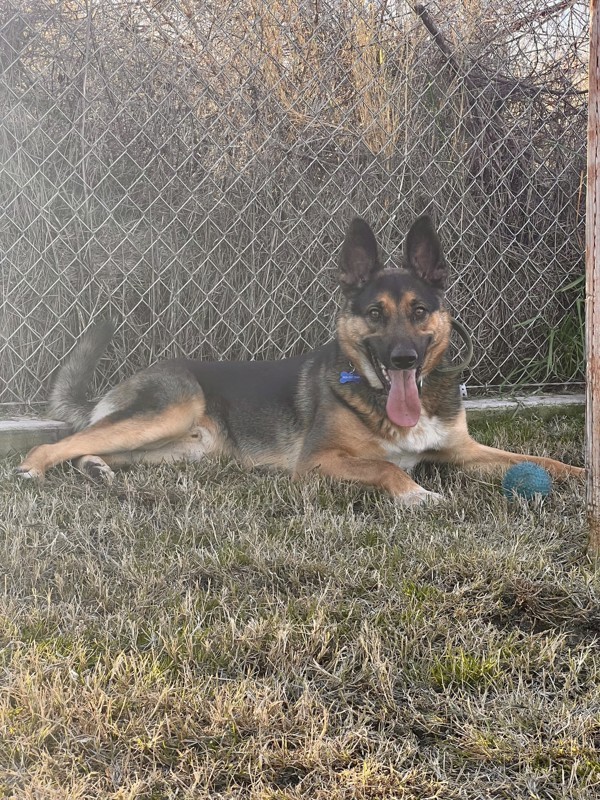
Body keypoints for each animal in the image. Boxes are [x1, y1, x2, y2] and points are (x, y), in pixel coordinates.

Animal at [16, 216, 584, 504]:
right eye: (375, 314)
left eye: (420, 311)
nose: (403, 359)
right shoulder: (317, 463)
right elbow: (386, 467)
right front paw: (417, 494)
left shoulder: (464, 451)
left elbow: (542, 462)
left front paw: (580, 473)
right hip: (166, 413)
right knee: (63, 441)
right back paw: (32, 469)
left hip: (182, 448)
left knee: (97, 448)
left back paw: (96, 470)